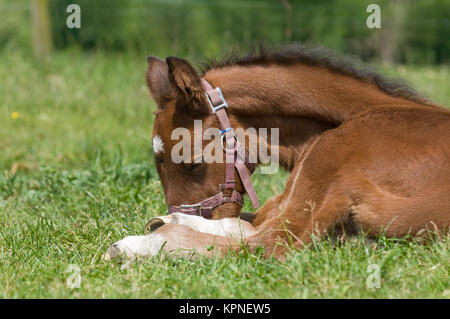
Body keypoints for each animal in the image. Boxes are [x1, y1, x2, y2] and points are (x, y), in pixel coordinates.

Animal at [103, 45, 448, 264]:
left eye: (191, 163)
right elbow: (242, 223)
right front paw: (165, 219)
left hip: (329, 156)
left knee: (269, 245)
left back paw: (136, 247)